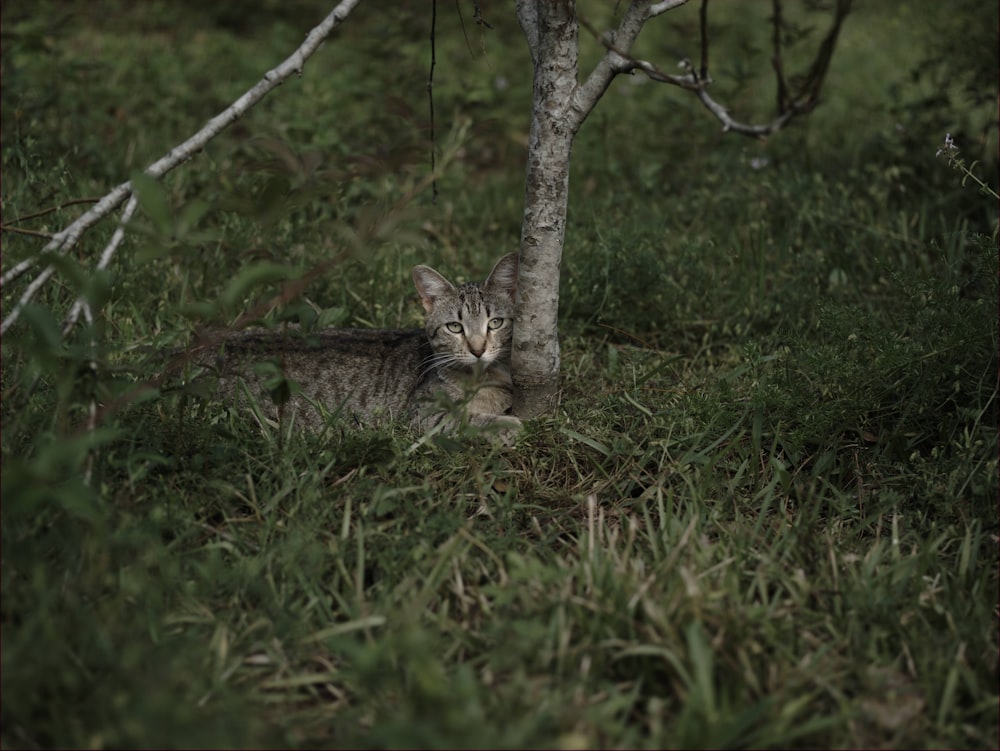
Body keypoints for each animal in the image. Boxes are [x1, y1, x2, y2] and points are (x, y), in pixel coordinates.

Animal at [197, 254, 524, 440]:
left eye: (495, 323)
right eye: (455, 327)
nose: (478, 349)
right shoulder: (422, 415)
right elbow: (466, 419)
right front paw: (508, 425)